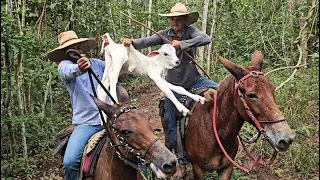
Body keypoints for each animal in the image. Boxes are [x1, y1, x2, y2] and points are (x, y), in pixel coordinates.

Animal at [162, 50, 296, 179]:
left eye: (273, 89)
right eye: (251, 95)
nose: (287, 139)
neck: (217, 133)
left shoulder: (227, 168)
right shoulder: (197, 169)